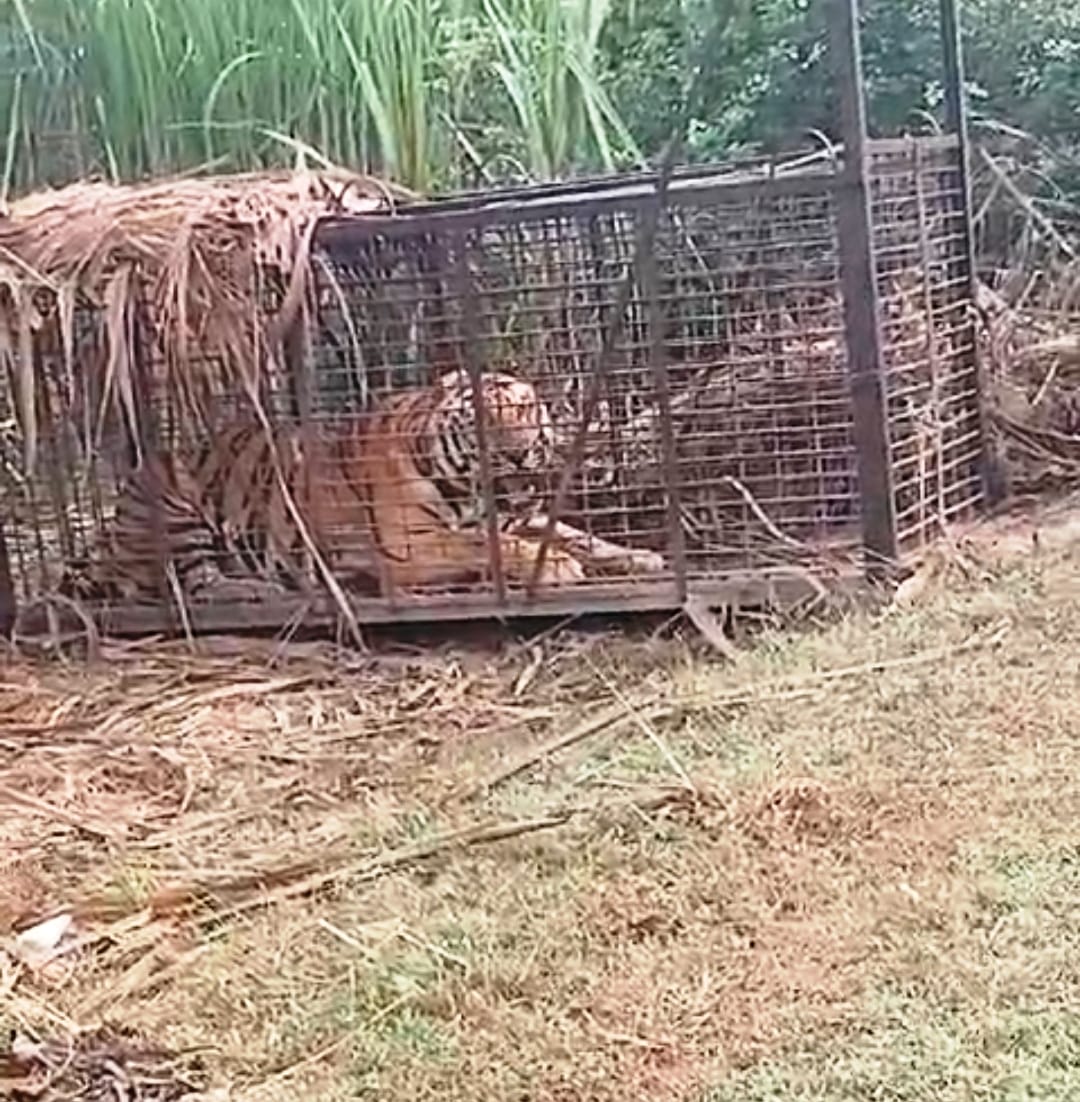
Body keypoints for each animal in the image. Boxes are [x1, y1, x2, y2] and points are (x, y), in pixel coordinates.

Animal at [60, 369, 664, 605]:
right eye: (485, 420)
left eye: (526, 411)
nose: (519, 452)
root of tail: (104, 544)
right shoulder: (410, 549)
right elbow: (493, 544)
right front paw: (559, 567)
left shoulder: (523, 513)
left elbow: (574, 532)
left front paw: (642, 556)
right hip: (172, 493)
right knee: (195, 582)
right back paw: (268, 590)